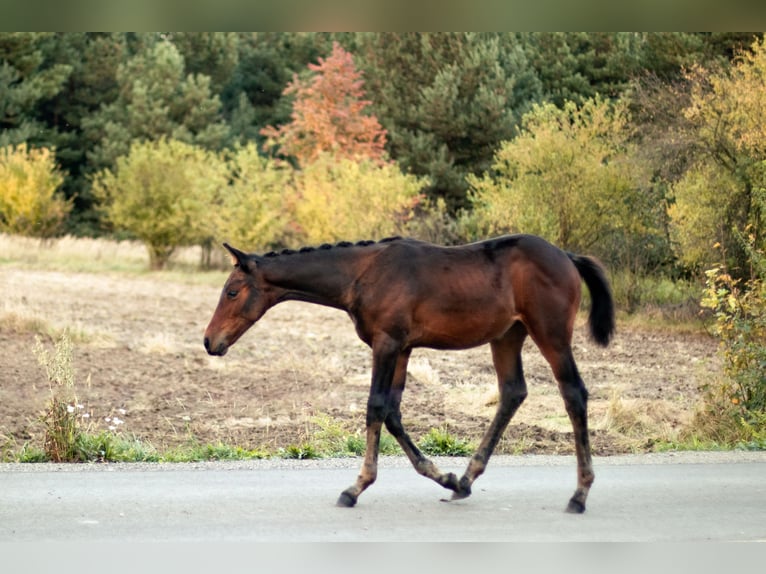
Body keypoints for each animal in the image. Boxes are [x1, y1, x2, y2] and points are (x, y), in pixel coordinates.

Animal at [204, 234, 616, 512]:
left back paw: (580, 494)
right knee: (513, 392)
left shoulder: (386, 344)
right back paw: (465, 480)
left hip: (551, 334)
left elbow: (375, 407)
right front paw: (444, 477)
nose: (210, 342)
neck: (364, 273)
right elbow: (393, 413)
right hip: (507, 336)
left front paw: (355, 488)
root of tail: (566, 256)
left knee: (573, 393)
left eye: (232, 291)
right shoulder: (401, 349)